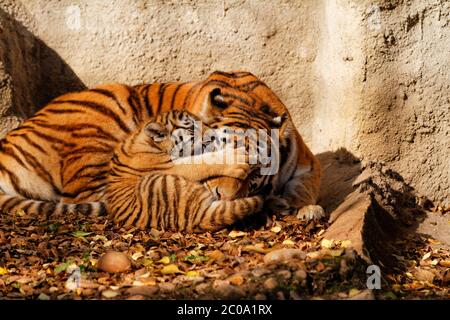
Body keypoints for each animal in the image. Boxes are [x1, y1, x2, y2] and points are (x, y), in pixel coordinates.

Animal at [0, 70, 322, 220]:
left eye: (255, 176)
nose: (224, 196)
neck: (251, 106)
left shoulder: (307, 163)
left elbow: (303, 188)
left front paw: (306, 209)